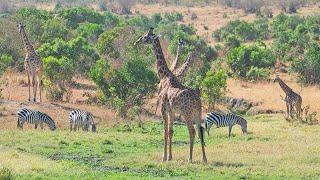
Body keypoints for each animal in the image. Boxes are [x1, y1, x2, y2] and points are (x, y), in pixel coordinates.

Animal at [135, 27, 208, 163]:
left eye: (145, 37)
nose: (136, 42)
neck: (164, 76)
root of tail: (197, 101)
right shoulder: (172, 111)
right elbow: (171, 131)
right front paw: (170, 157)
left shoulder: (163, 109)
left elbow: (164, 132)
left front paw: (164, 158)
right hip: (197, 113)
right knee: (200, 130)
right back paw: (204, 159)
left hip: (187, 113)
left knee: (192, 131)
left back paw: (190, 159)